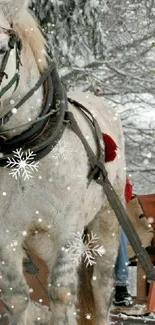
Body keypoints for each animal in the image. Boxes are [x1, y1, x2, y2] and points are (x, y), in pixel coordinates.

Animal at [0, 0, 126, 324]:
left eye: (5, 46)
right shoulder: (6, 235)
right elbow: (17, 298)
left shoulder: (67, 231)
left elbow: (62, 294)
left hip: (107, 221)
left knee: (101, 286)